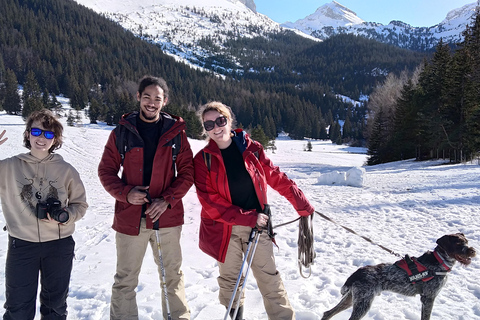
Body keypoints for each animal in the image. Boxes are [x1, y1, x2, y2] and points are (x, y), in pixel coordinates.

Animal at [320, 232, 474, 320]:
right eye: (458, 243)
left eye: (467, 242)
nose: (472, 251)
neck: (440, 261)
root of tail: (357, 273)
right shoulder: (428, 298)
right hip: (363, 303)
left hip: (352, 299)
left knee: (327, 313)